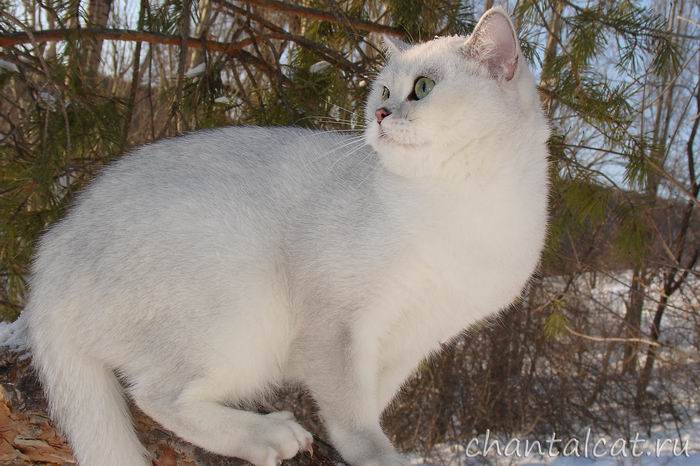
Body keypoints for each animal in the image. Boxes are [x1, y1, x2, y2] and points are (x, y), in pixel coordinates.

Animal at [24, 7, 548, 466]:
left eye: (423, 87)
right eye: (383, 89)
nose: (380, 113)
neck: (463, 208)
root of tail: (53, 250)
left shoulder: (412, 340)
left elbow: (372, 400)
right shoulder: (339, 323)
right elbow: (352, 413)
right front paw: (376, 454)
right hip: (241, 303)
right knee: (156, 396)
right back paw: (268, 436)